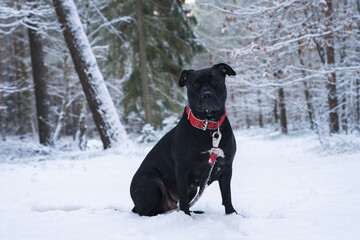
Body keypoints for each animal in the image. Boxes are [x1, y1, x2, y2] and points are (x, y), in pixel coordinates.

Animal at [131, 62, 238, 217]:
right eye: (194, 85)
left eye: (215, 81)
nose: (206, 94)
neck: (208, 126)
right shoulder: (182, 170)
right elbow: (184, 200)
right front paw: (186, 218)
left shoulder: (226, 168)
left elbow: (227, 195)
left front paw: (232, 214)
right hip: (151, 184)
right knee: (146, 212)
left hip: (192, 189)